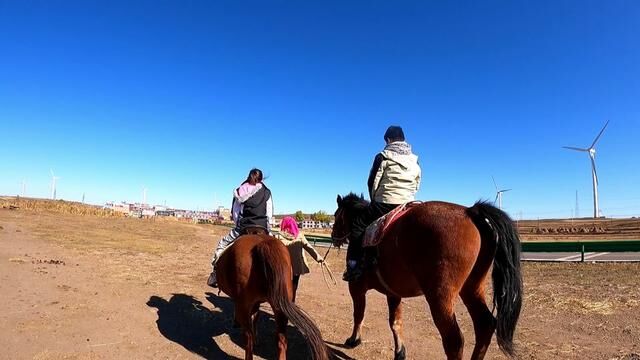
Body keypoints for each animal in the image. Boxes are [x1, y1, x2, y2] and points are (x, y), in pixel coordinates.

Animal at [332, 194, 524, 360]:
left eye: (336, 216)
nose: (334, 238)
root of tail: (470, 211)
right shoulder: (393, 293)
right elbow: (395, 322)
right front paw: (400, 352)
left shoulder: (356, 288)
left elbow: (359, 314)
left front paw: (353, 340)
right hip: (472, 288)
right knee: (485, 325)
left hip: (440, 297)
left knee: (454, 340)